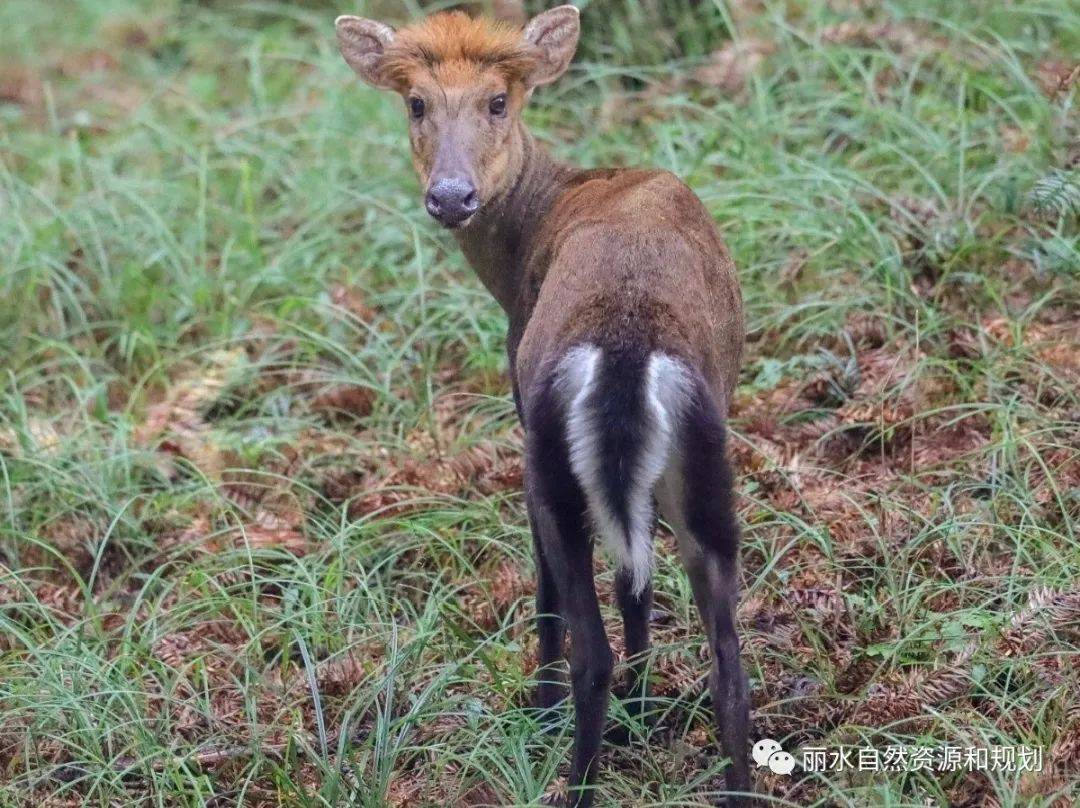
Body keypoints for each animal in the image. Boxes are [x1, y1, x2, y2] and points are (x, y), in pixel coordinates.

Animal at [336, 7, 751, 808]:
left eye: (499, 101)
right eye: (416, 103)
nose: (452, 196)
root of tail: (627, 347)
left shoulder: (523, 415)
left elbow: (549, 587)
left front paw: (544, 706)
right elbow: (634, 581)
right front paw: (644, 714)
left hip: (554, 460)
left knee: (591, 647)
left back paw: (572, 766)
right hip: (705, 461)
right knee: (726, 660)